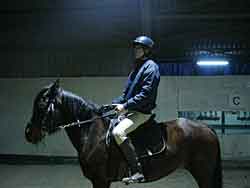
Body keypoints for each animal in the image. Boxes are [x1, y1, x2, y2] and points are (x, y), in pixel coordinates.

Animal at [24, 81, 222, 188]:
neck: (91, 133)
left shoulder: (100, 180)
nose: (28, 133)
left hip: (203, 173)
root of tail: (208, 129)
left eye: (41, 105)